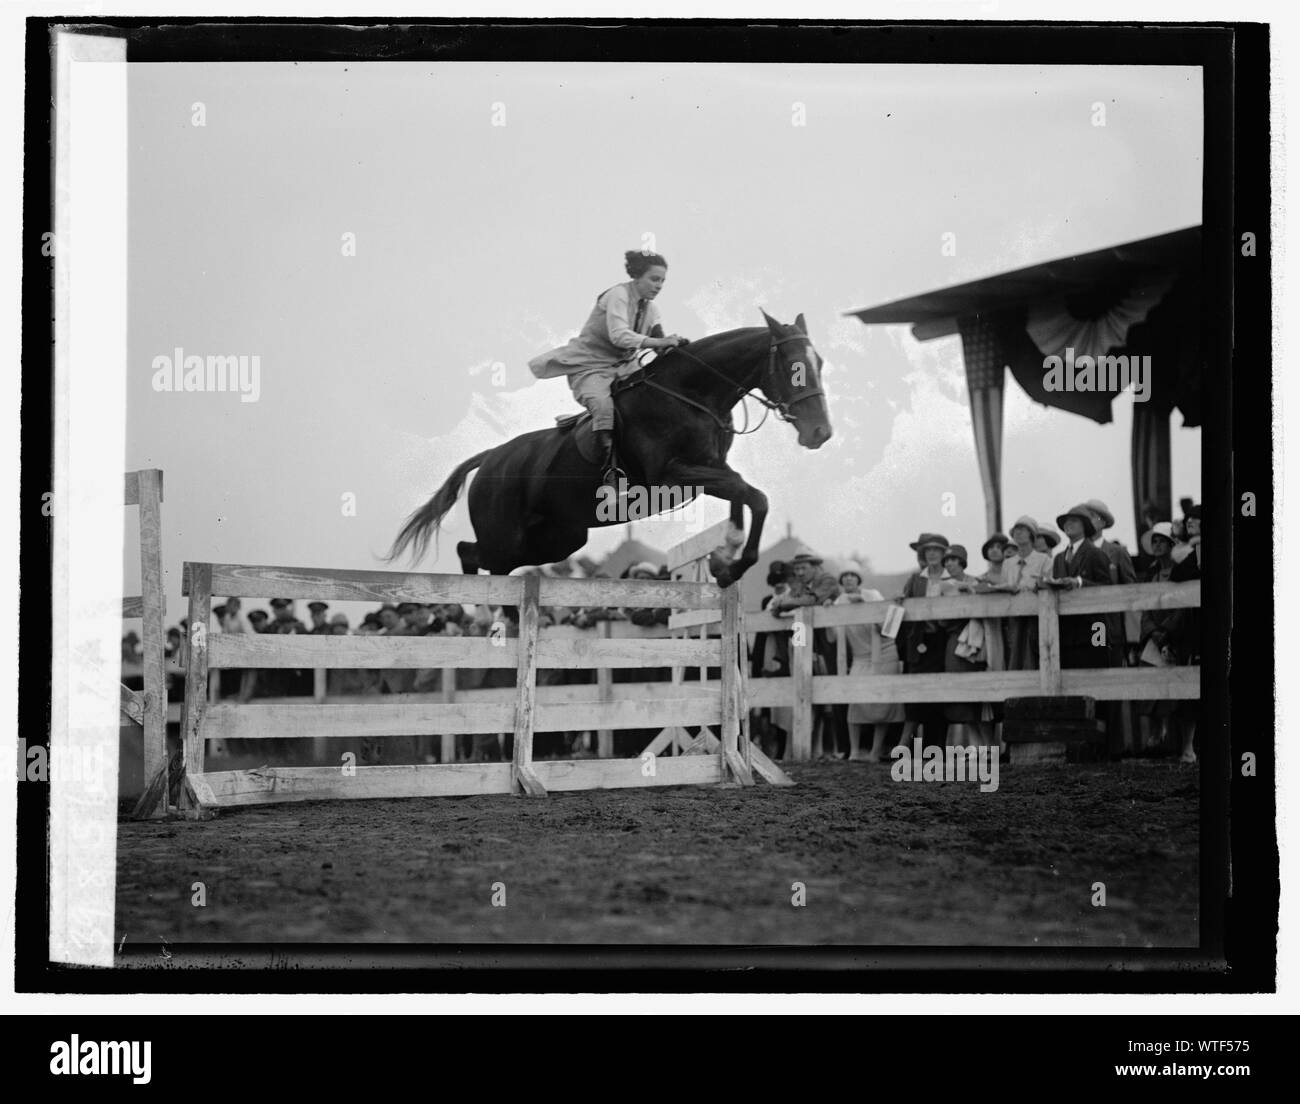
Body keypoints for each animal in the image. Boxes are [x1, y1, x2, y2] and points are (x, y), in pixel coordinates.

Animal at [387, 309, 832, 585]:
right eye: (794, 368)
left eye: (821, 363)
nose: (821, 433)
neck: (692, 394)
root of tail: (491, 457)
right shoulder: (671, 475)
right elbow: (753, 495)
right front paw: (732, 568)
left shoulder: (709, 471)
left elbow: (744, 494)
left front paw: (725, 559)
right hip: (506, 533)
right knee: (477, 555)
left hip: (561, 537)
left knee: (482, 555)